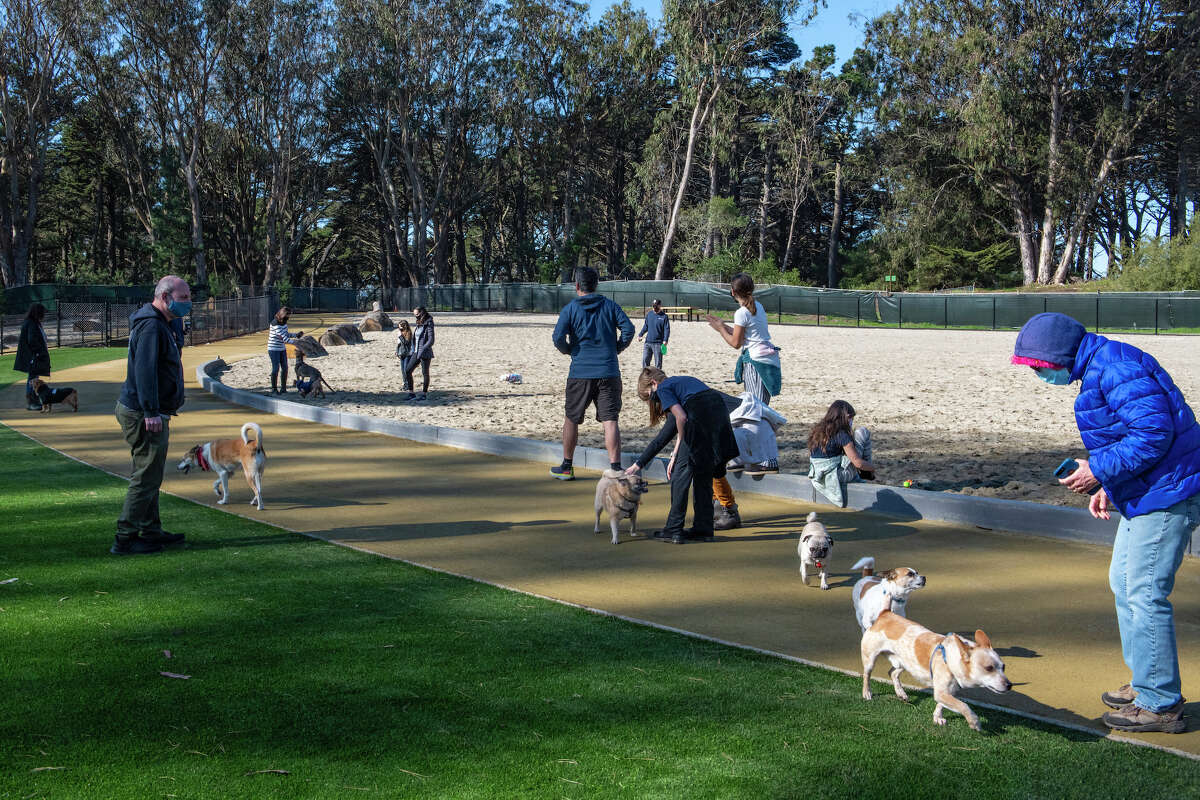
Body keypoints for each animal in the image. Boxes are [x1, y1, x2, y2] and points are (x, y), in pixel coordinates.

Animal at [864, 614, 1012, 734]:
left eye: (1004, 667)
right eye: (989, 668)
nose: (1009, 685)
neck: (952, 659)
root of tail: (885, 613)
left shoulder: (948, 690)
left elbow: (942, 705)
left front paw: (937, 717)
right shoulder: (942, 692)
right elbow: (963, 705)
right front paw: (974, 722)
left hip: (904, 663)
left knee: (892, 673)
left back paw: (901, 693)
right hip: (870, 658)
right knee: (867, 675)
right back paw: (867, 693)